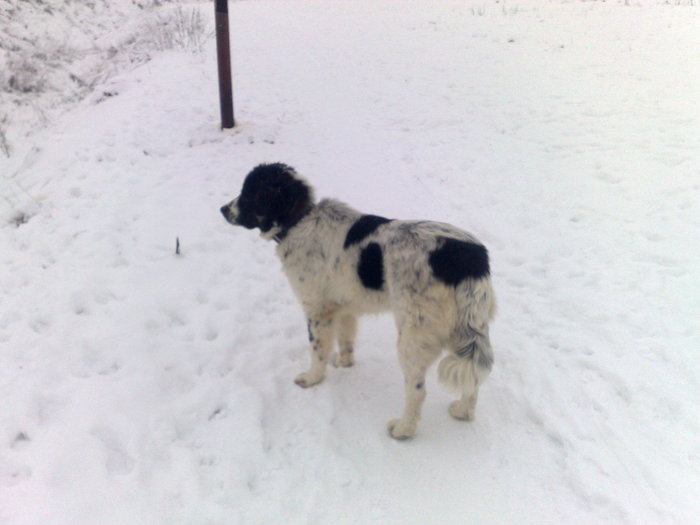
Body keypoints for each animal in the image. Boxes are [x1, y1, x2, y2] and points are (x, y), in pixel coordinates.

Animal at [221, 163, 494, 438]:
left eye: (248, 194)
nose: (222, 209)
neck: (300, 219)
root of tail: (469, 257)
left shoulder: (317, 310)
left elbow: (317, 350)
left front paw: (312, 378)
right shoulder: (342, 307)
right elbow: (346, 339)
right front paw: (344, 363)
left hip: (414, 336)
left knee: (417, 390)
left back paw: (403, 428)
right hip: (462, 330)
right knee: (474, 377)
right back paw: (463, 411)